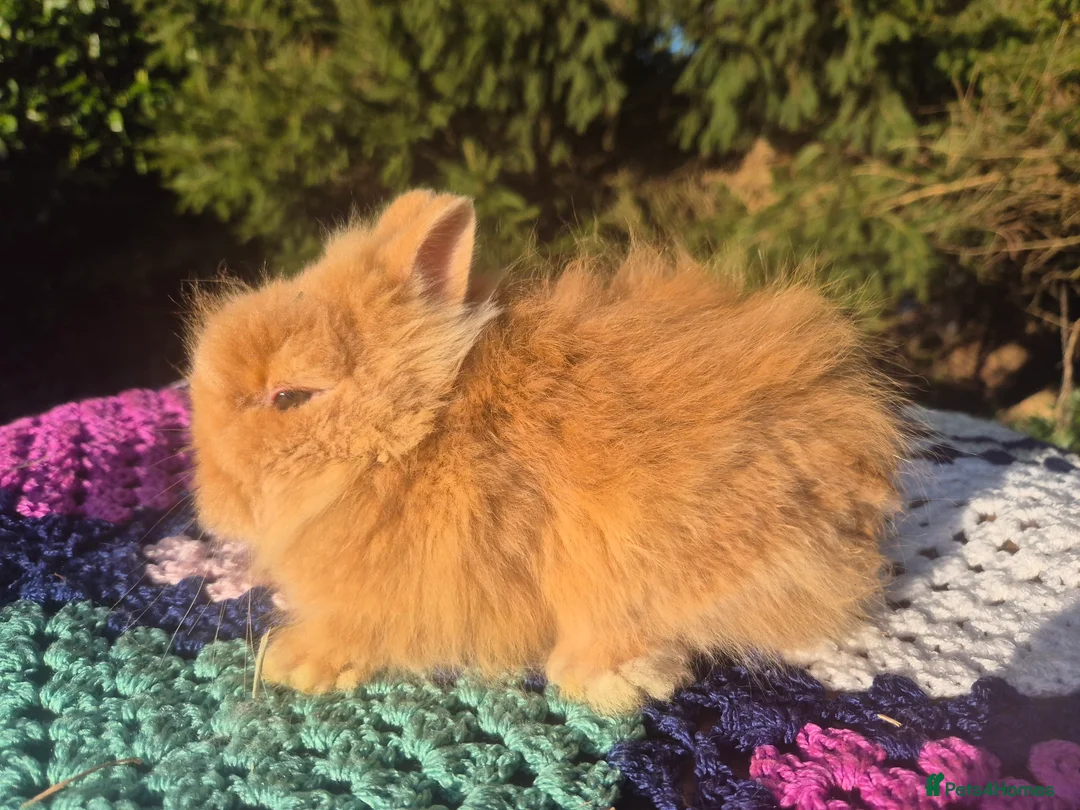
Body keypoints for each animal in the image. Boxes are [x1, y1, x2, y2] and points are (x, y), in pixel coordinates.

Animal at [186, 188, 908, 715]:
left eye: (289, 397)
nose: (212, 506)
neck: (417, 438)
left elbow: (362, 629)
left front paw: (294, 662)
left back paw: (598, 678)